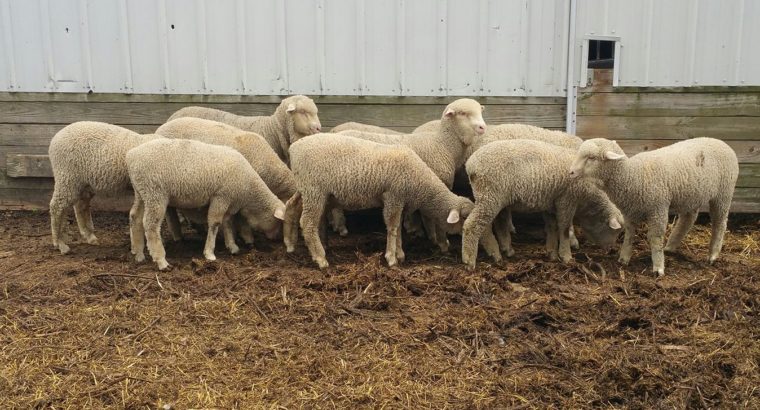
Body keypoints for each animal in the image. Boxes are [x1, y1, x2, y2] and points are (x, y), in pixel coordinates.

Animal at [48, 121, 163, 254]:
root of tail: (55, 139)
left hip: (82, 182)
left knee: (79, 205)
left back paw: (87, 236)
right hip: (67, 176)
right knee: (57, 206)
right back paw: (59, 243)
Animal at [126, 139, 286, 270]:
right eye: (279, 222)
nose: (277, 239)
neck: (248, 188)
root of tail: (131, 156)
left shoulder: (228, 201)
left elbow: (227, 223)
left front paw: (232, 246)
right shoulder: (221, 196)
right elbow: (215, 223)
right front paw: (209, 253)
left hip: (141, 192)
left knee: (135, 217)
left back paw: (139, 254)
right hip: (155, 193)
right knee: (151, 225)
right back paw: (161, 261)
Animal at [287, 133, 476, 269]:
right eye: (464, 219)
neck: (419, 179)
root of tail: (294, 148)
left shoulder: (401, 202)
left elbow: (398, 228)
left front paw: (399, 254)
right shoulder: (393, 196)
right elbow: (392, 227)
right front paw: (391, 258)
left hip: (305, 188)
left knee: (291, 207)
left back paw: (290, 244)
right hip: (314, 190)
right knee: (307, 223)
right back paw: (320, 259)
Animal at [461, 140, 624, 270]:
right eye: (614, 231)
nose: (610, 249)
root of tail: (471, 164)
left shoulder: (551, 203)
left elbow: (552, 227)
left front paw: (551, 253)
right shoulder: (567, 199)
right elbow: (564, 228)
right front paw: (566, 256)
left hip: (493, 198)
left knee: (492, 226)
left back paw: (503, 251)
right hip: (490, 195)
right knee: (472, 225)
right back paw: (471, 260)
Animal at [569, 137, 738, 276]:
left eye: (591, 158)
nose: (570, 172)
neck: (632, 175)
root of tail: (721, 142)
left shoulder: (658, 208)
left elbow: (655, 238)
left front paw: (658, 267)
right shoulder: (630, 211)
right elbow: (629, 234)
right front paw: (624, 258)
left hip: (724, 193)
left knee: (720, 223)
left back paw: (713, 255)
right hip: (692, 194)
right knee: (689, 218)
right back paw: (670, 246)